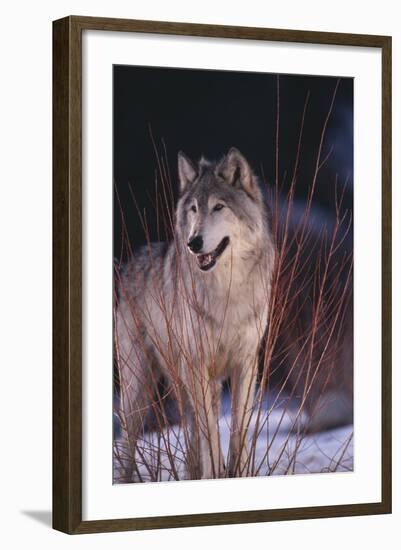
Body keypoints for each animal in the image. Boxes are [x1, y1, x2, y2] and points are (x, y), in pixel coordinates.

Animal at [114, 149, 274, 480]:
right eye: (193, 209)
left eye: (218, 207)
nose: (193, 242)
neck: (227, 293)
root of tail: (129, 262)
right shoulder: (198, 365)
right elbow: (209, 434)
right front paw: (214, 474)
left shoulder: (245, 363)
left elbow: (237, 431)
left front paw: (236, 473)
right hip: (140, 388)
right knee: (129, 442)